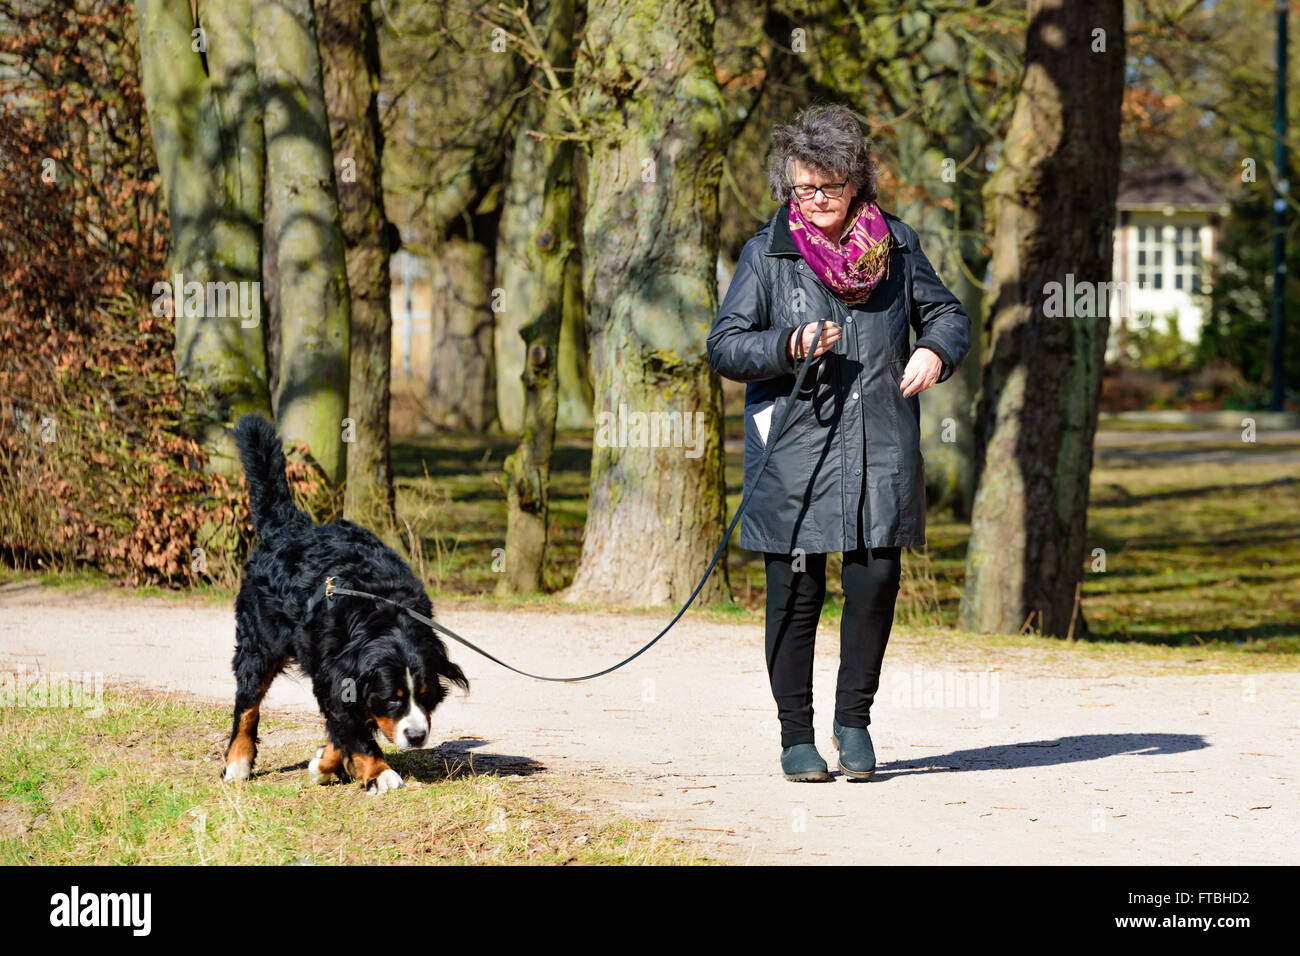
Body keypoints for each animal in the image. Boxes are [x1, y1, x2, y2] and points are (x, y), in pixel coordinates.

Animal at [223, 416, 467, 796]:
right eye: (393, 698)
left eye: (425, 696)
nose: (416, 736)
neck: (384, 614)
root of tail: (288, 526)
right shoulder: (335, 674)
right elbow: (353, 728)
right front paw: (379, 772)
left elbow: (344, 726)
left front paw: (325, 763)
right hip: (259, 643)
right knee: (247, 704)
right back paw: (238, 761)